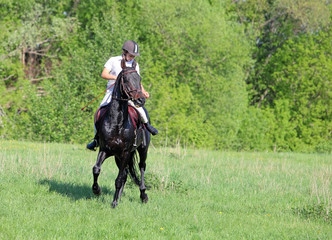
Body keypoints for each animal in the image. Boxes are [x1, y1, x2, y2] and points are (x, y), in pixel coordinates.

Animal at [89, 62, 149, 207]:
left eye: (139, 79)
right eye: (126, 80)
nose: (141, 100)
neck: (117, 123)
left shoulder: (125, 152)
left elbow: (119, 178)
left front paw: (114, 202)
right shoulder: (105, 150)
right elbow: (96, 169)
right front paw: (97, 190)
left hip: (142, 149)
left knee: (141, 167)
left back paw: (143, 195)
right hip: (118, 156)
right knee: (127, 173)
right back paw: (120, 196)